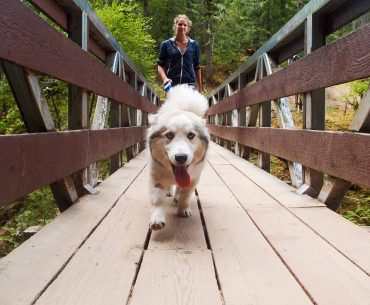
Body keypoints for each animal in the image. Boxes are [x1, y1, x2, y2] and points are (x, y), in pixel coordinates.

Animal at [147, 84, 211, 229]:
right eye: (169, 135)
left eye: (191, 135)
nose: (181, 157)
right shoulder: (156, 176)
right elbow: (157, 199)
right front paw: (157, 219)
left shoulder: (193, 178)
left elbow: (185, 195)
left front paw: (183, 209)